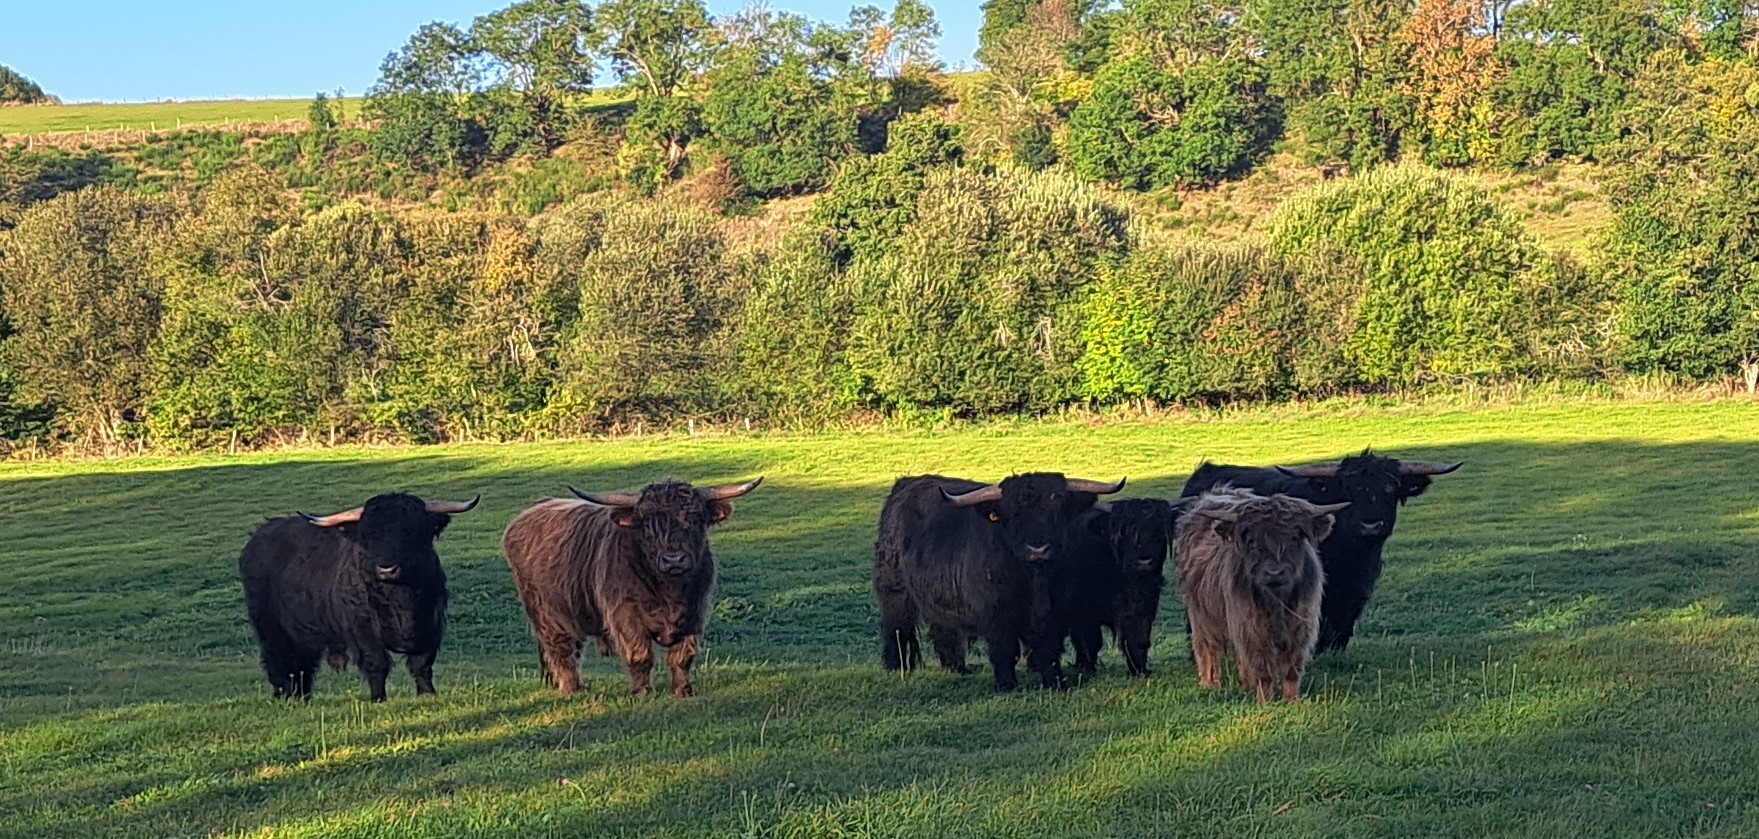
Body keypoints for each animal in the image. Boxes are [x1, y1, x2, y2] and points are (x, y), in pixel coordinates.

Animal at [239, 488, 481, 700]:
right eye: (368, 536)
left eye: (411, 532)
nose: (387, 569)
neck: (401, 599)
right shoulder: (362, 627)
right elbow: (377, 663)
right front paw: (378, 698)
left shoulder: (432, 622)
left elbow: (422, 663)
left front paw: (427, 694)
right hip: (271, 627)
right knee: (280, 661)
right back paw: (286, 697)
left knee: (302, 665)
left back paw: (303, 697)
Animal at [503, 474, 763, 696]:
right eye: (647, 523)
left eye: (696, 518)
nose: (674, 559)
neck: (670, 591)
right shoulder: (625, 615)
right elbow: (640, 654)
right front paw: (642, 692)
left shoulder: (696, 612)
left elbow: (682, 656)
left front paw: (683, 691)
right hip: (548, 615)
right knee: (563, 651)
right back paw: (574, 689)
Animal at [1175, 485, 1350, 700]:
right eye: (1251, 541)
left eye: (1294, 537)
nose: (1274, 573)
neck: (1276, 602)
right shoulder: (1249, 626)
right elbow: (1262, 668)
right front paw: (1265, 700)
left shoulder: (1301, 625)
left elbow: (1292, 668)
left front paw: (1292, 700)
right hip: (1201, 614)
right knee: (1207, 646)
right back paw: (1210, 683)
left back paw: (1246, 685)